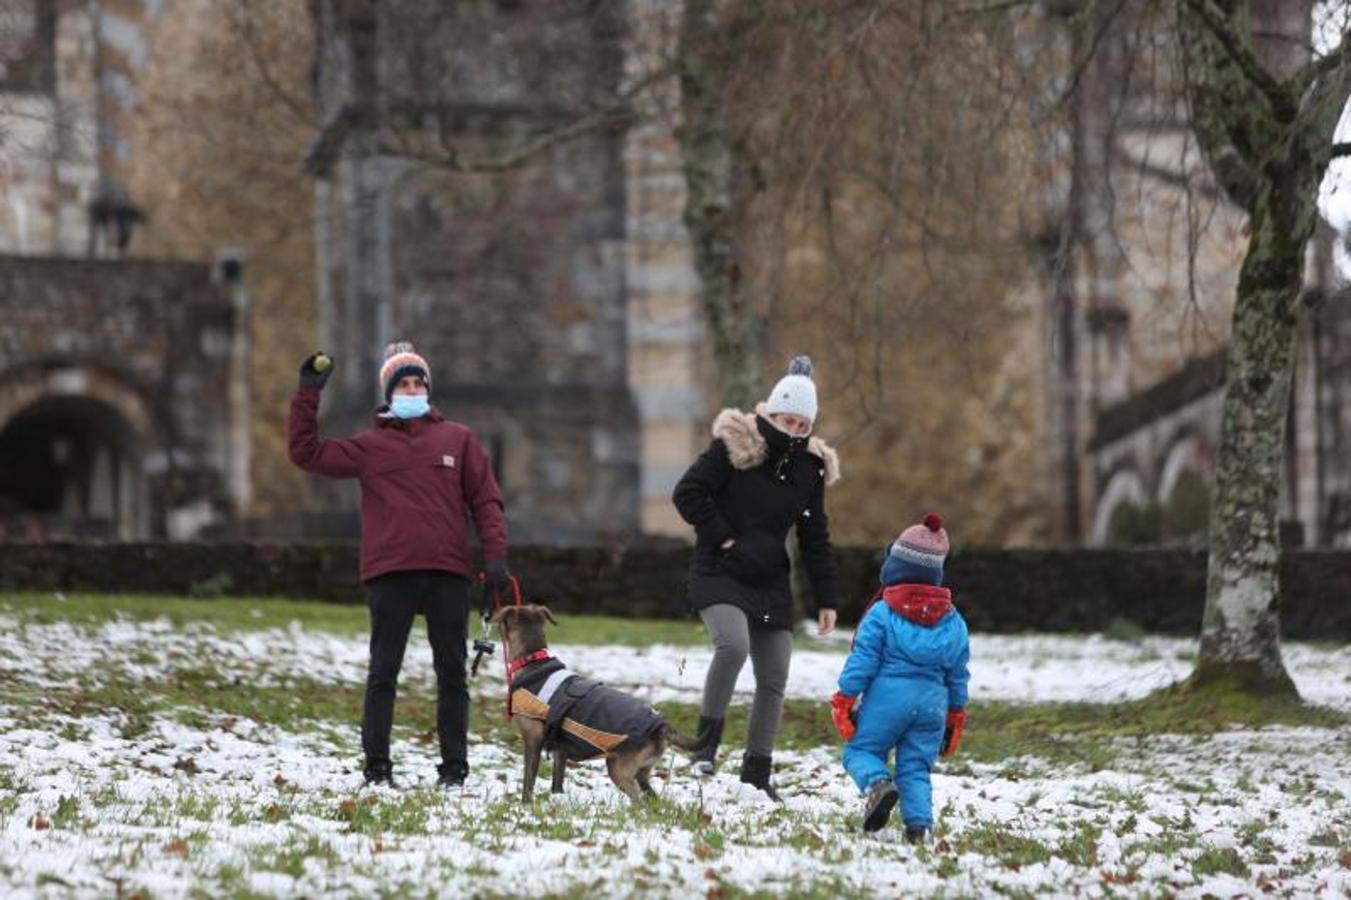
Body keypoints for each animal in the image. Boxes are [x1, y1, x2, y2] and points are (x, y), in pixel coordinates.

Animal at [494, 602, 707, 800]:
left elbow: (528, 781)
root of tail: (662, 726)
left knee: (639, 802)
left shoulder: (533, 741)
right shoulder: (560, 750)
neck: (533, 661)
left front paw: (524, 805)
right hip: (642, 772)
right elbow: (557, 781)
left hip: (618, 769)